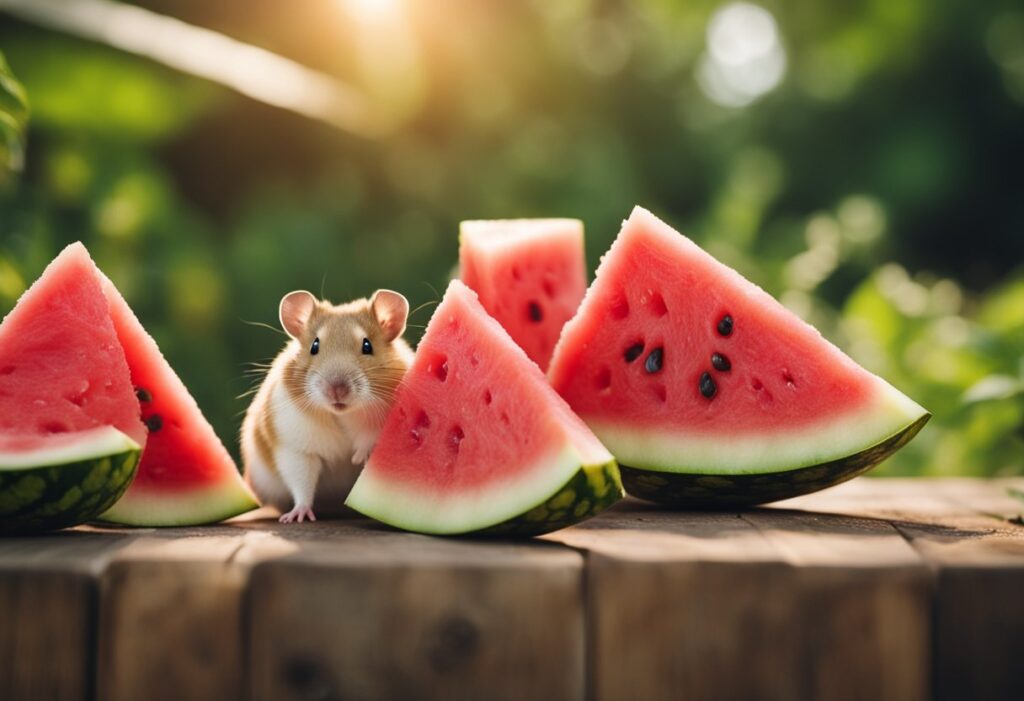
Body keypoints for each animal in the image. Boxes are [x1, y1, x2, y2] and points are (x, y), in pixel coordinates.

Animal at [241, 289, 414, 523]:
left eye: (367, 346)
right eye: (314, 346)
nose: (337, 390)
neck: (342, 414)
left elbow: (369, 436)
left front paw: (358, 456)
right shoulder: (296, 449)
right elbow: (302, 483)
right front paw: (296, 517)